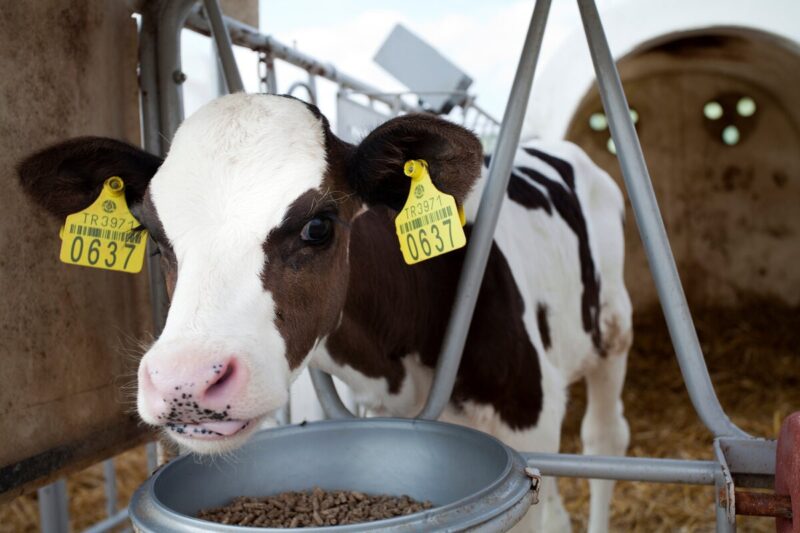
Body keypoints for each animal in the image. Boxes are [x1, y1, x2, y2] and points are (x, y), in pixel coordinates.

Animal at [17, 93, 632, 532]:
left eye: (319, 226)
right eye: (152, 233)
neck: (393, 364)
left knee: (605, 441)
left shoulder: (530, 416)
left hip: (613, 335)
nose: (184, 381)